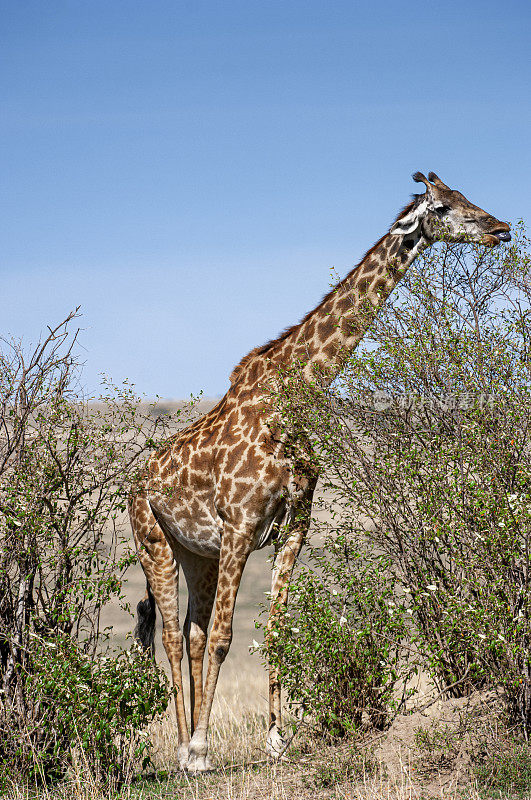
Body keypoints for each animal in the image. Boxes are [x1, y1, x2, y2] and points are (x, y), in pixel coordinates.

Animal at [129, 172, 512, 772]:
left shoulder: (294, 526)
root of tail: (135, 482)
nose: (501, 228)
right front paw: (203, 749)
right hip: (153, 541)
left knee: (189, 632)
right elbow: (225, 636)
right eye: (446, 207)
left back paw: (191, 739)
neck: (292, 398)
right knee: (170, 634)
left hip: (197, 553)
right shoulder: (241, 525)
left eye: (466, 195)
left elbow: (275, 630)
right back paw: (184, 747)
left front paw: (276, 739)